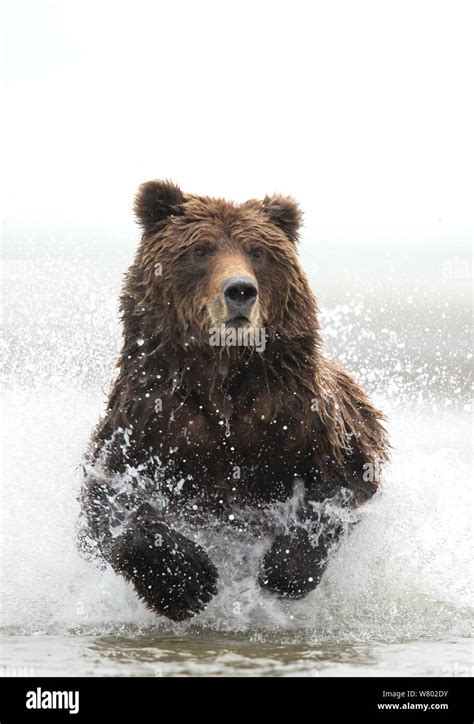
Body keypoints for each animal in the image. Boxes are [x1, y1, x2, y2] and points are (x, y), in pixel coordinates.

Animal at [78, 178, 388, 620]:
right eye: (200, 250)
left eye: (257, 251)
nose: (240, 290)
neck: (221, 375)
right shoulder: (147, 421)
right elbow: (110, 499)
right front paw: (186, 584)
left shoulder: (298, 416)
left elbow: (340, 484)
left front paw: (284, 571)